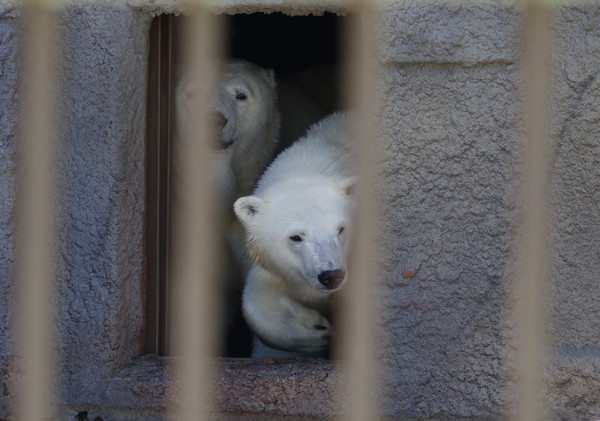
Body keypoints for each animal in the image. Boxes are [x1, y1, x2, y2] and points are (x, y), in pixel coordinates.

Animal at [233, 112, 356, 358]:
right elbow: (255, 298)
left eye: (341, 229)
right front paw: (316, 330)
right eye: (296, 237)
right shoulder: (278, 268)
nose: (331, 275)